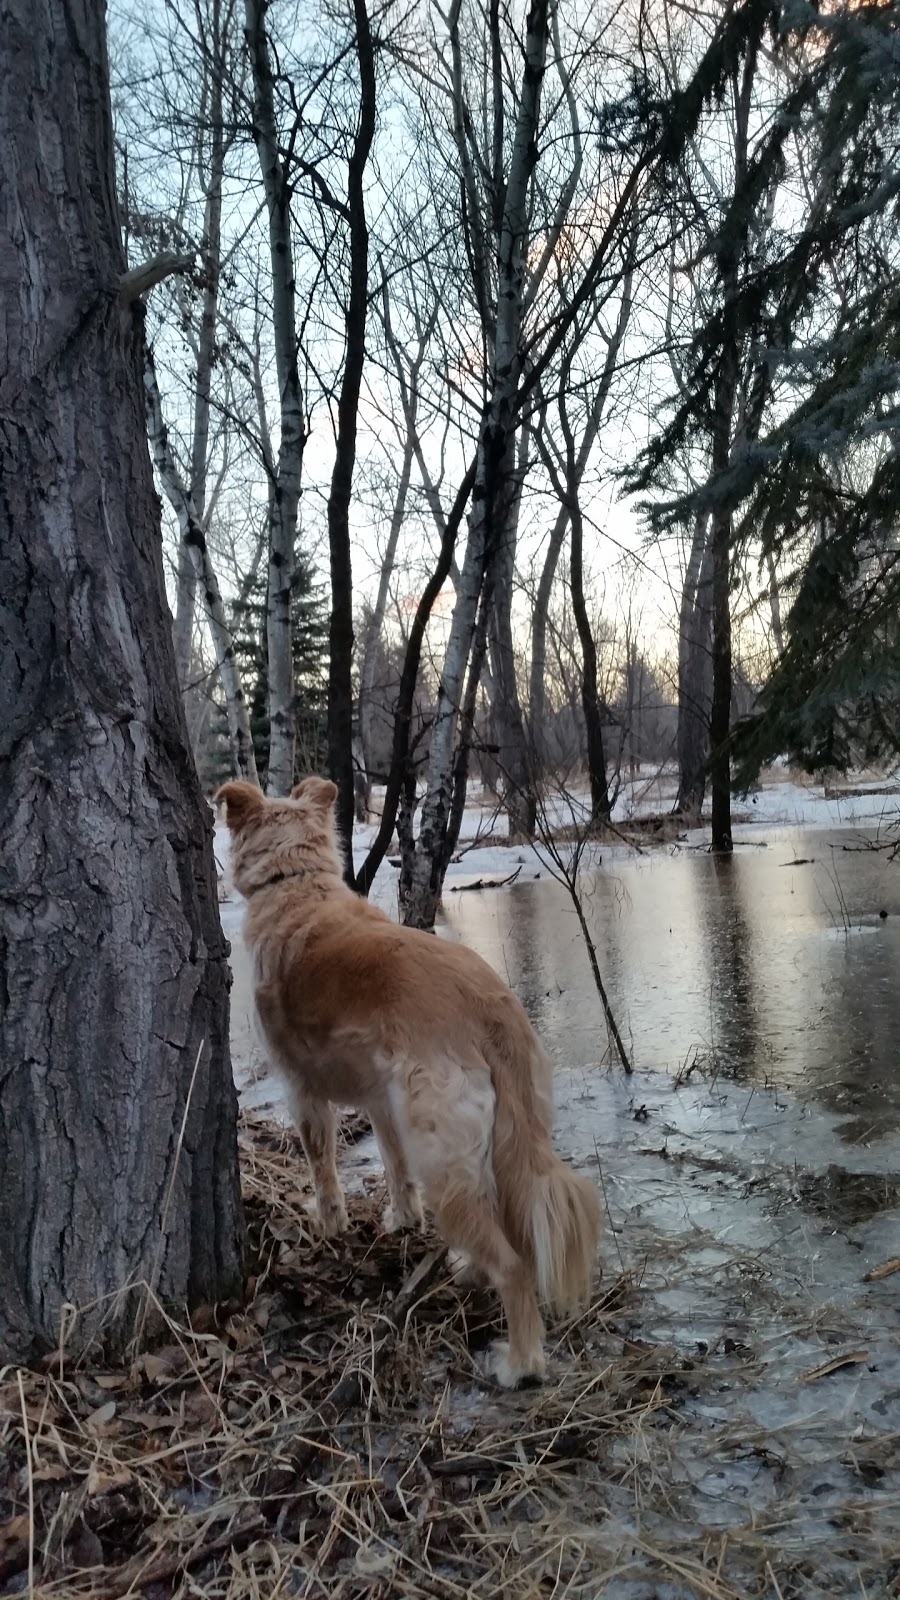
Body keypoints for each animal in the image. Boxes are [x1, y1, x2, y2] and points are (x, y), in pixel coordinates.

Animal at [214, 777, 598, 1388]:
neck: (297, 885)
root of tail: (488, 1008)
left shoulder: (302, 1091)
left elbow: (322, 1166)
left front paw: (329, 1224)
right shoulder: (380, 1098)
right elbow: (393, 1165)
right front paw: (402, 1219)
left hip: (443, 1157)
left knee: (515, 1266)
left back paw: (520, 1362)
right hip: (497, 1138)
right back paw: (470, 1272)